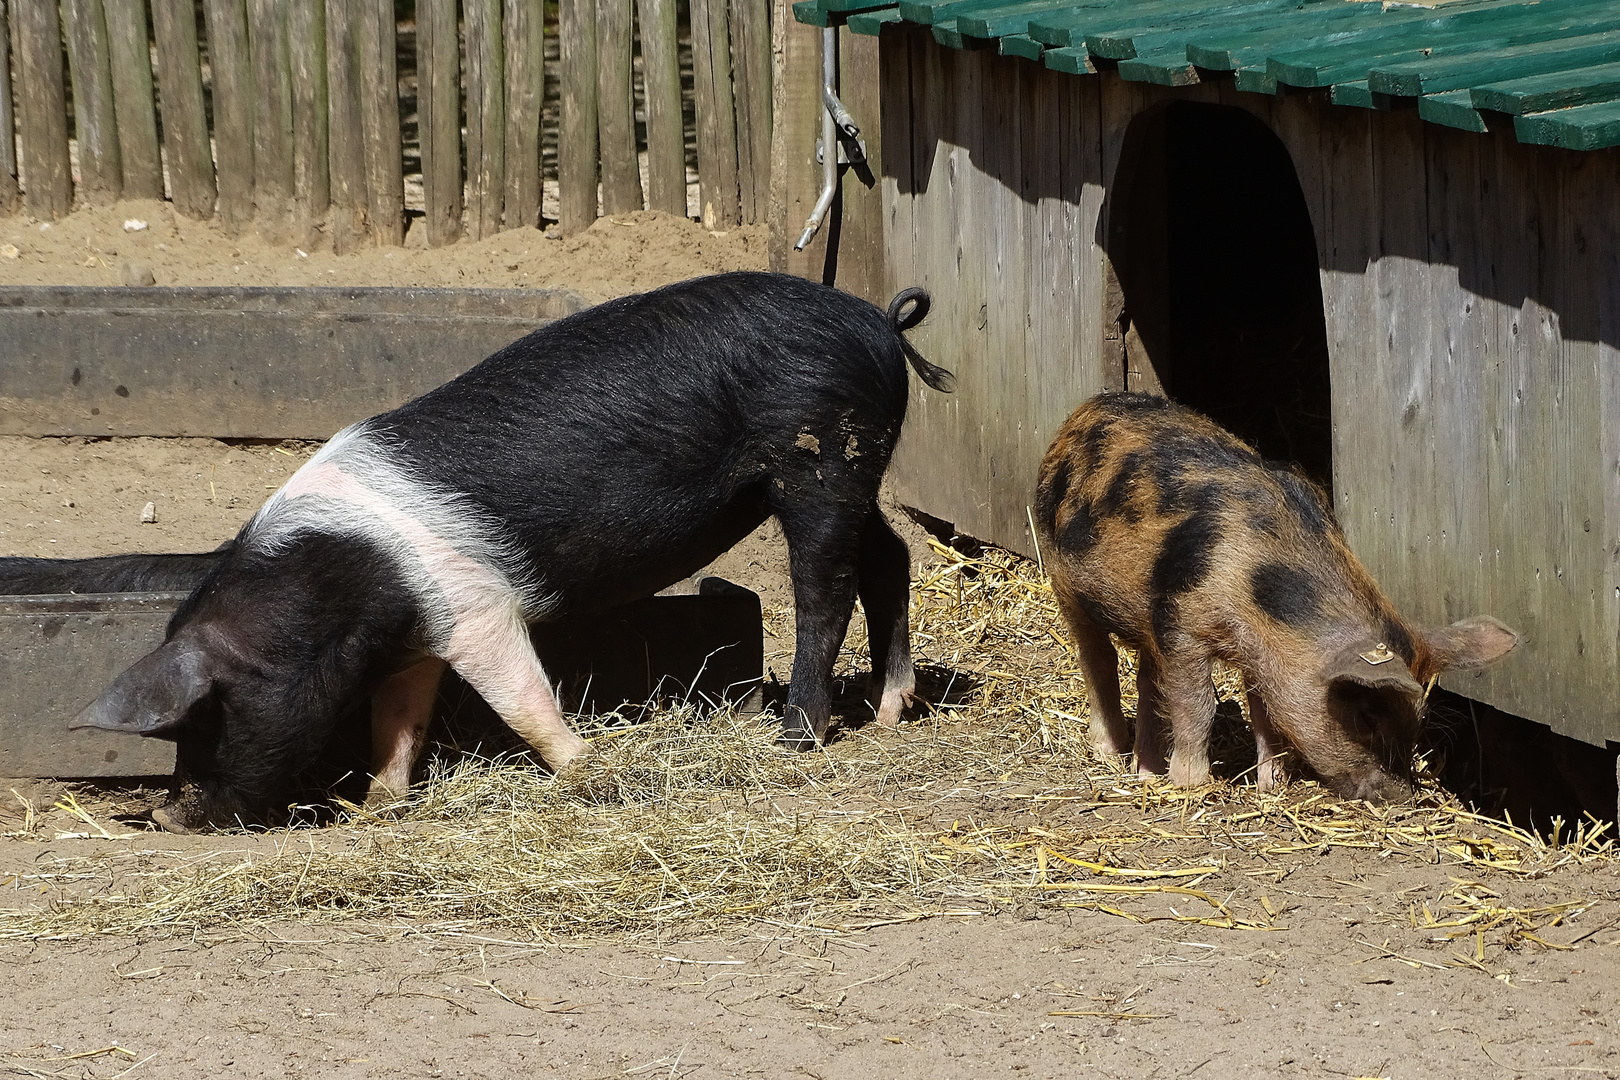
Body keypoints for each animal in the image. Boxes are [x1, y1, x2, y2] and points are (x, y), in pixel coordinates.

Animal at [76, 275, 952, 835]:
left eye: (208, 717)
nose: (167, 815)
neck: (347, 583)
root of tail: (879, 320)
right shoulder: (418, 631)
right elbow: (400, 715)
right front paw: (378, 803)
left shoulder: (477, 606)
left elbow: (522, 696)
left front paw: (591, 772)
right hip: (853, 475)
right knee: (890, 557)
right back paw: (888, 712)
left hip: (820, 460)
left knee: (825, 586)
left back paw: (795, 737)